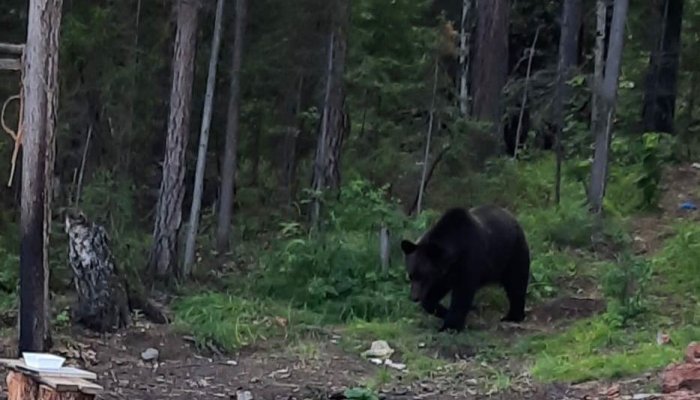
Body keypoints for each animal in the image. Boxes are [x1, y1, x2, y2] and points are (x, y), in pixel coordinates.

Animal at [400, 205, 530, 332]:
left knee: (517, 283)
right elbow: (432, 296)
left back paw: (513, 316)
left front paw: (450, 326)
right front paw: (443, 311)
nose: (414, 297)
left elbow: (462, 294)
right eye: (410, 276)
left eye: (424, 276)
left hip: (512, 253)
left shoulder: (469, 260)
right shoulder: (444, 274)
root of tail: (512, 217)